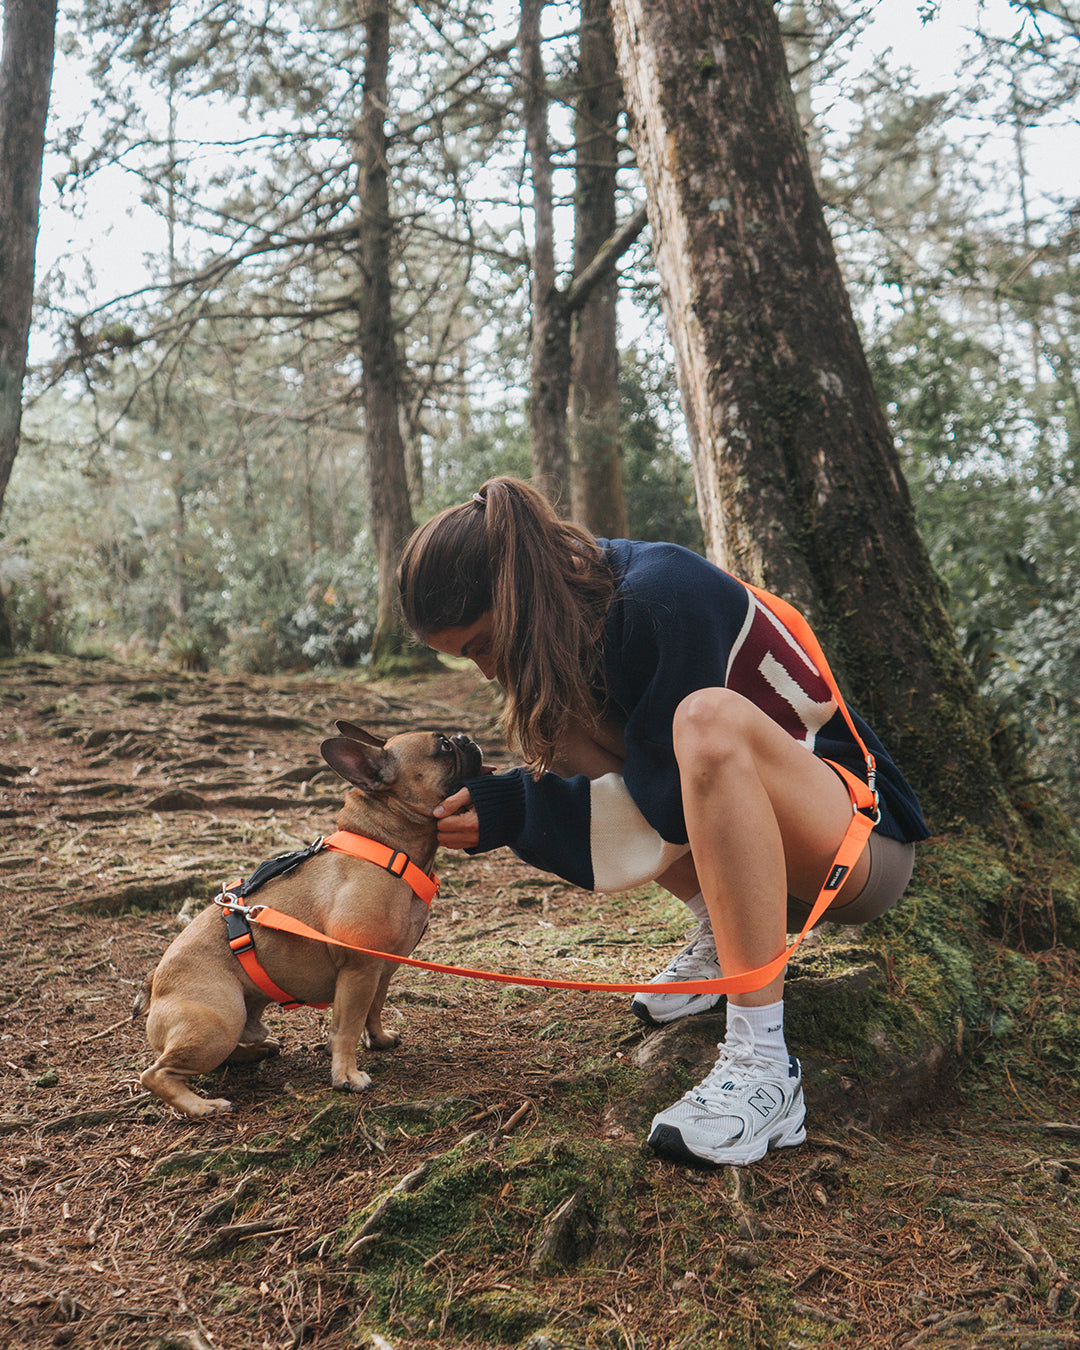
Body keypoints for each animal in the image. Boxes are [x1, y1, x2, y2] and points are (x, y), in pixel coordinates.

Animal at [132, 723, 483, 1123]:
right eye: (443, 747)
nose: (465, 738)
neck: (387, 847)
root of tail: (154, 981)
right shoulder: (358, 970)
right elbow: (346, 1027)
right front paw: (347, 1075)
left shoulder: (382, 970)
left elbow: (373, 1010)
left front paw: (378, 1040)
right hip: (217, 1020)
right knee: (157, 1073)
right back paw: (202, 1106)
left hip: (231, 1019)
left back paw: (255, 1051)